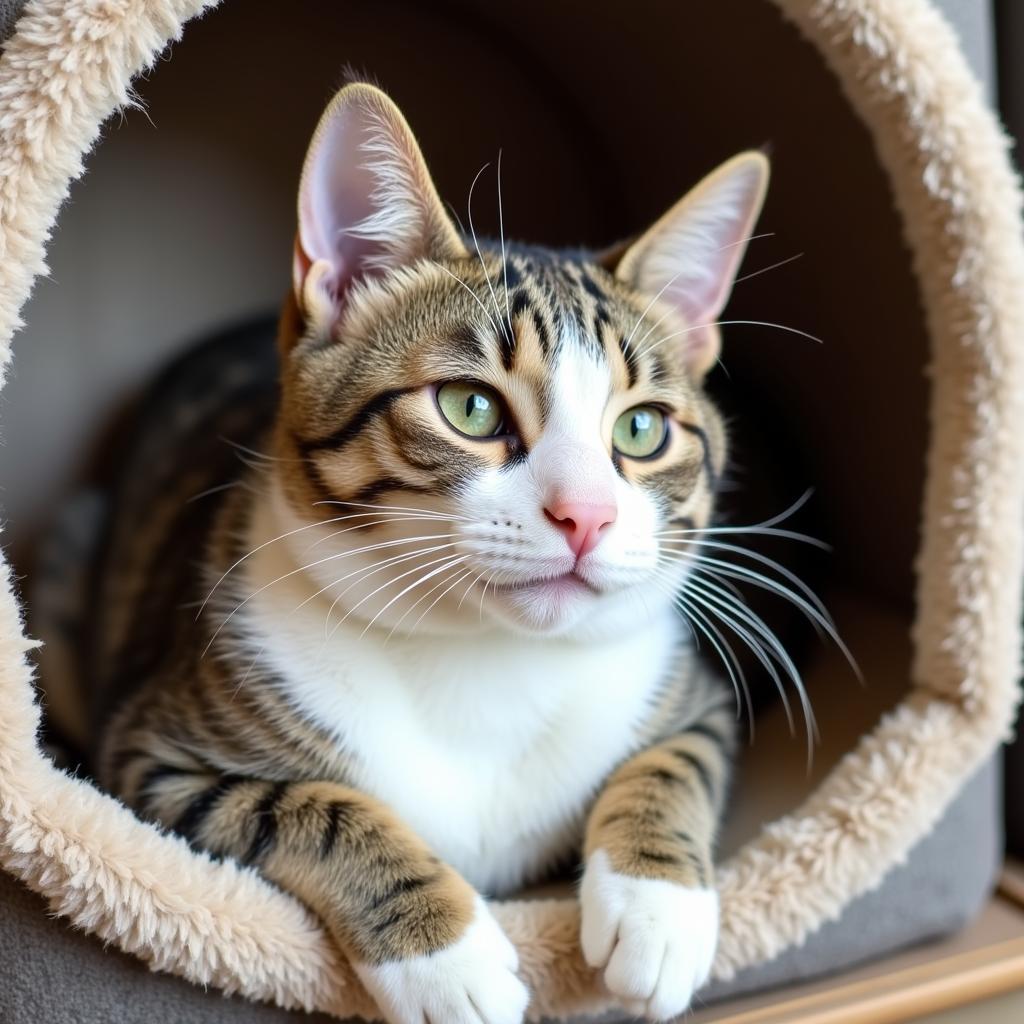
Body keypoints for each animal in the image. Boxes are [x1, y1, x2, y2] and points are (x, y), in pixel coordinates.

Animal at [94, 81, 770, 1024]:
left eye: (642, 429)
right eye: (470, 408)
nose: (587, 516)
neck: (484, 659)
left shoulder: (694, 698)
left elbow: (678, 759)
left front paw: (658, 908)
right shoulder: (148, 758)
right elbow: (302, 807)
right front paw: (446, 957)